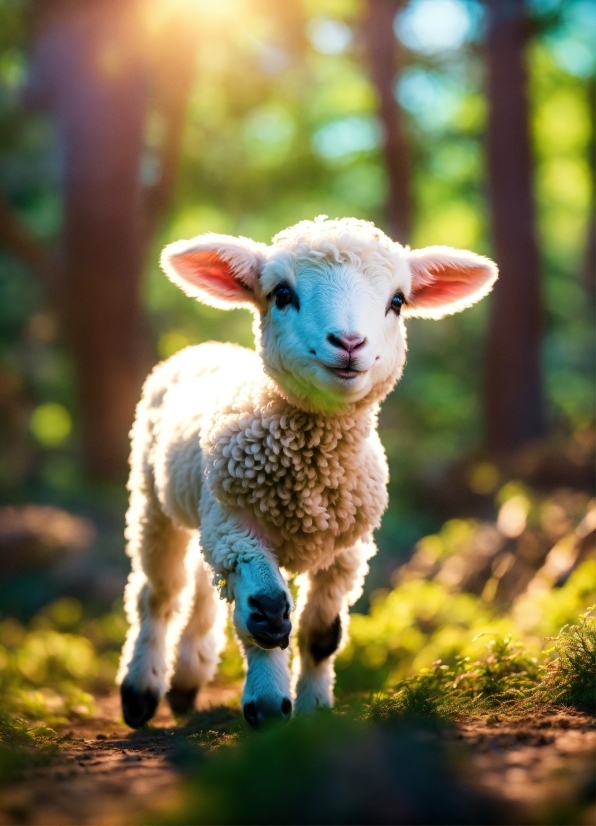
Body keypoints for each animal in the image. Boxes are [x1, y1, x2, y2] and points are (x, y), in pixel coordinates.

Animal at [117, 216, 498, 724]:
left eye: (397, 301)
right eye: (281, 293)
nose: (350, 343)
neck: (309, 476)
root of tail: (208, 347)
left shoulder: (347, 551)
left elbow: (322, 633)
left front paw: (315, 710)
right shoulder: (238, 531)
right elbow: (265, 613)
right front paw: (268, 705)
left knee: (200, 591)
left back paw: (187, 681)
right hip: (152, 501)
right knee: (159, 594)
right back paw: (142, 689)